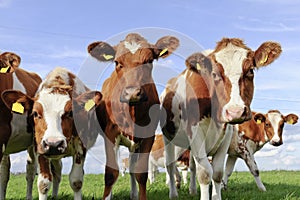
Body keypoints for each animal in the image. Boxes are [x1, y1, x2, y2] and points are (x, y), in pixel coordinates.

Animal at [0, 67, 103, 200]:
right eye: (35, 113)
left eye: (70, 113)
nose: (54, 144)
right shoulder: (40, 147)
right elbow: (43, 183)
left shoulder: (81, 147)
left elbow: (76, 181)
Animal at [88, 33, 179, 200]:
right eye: (117, 62)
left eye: (149, 61)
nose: (132, 93)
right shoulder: (110, 134)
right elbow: (110, 173)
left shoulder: (148, 135)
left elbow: (141, 173)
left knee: (131, 167)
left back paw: (133, 193)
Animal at [161, 38, 282, 200]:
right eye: (214, 74)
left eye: (250, 70)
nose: (236, 112)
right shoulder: (195, 132)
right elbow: (205, 173)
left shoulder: (227, 136)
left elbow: (218, 173)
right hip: (168, 137)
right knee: (170, 164)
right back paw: (173, 193)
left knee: (192, 167)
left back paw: (192, 190)